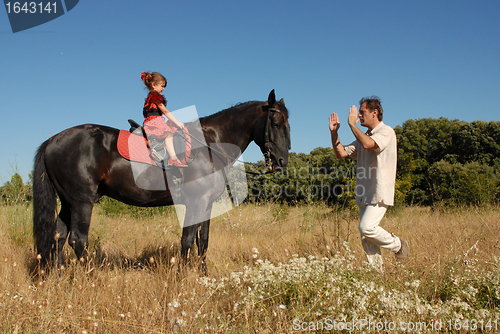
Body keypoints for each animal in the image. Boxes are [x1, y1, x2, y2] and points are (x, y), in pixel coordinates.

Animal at [33, 89, 292, 272]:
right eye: (276, 123)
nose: (281, 161)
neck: (209, 145)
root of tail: (53, 141)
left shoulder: (207, 205)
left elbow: (203, 241)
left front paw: (203, 276)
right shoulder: (196, 202)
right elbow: (187, 241)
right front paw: (183, 278)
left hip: (68, 202)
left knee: (57, 237)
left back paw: (59, 277)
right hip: (82, 202)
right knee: (78, 241)